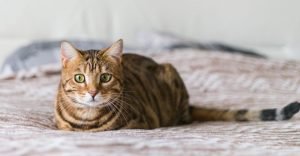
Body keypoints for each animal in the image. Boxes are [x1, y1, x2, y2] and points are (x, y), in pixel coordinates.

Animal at [54, 39, 300, 132]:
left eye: (105, 78)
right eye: (80, 78)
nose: (93, 92)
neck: (86, 121)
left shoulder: (140, 124)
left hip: (172, 74)